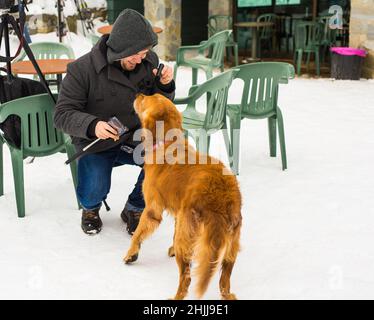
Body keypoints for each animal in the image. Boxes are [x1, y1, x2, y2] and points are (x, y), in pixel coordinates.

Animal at [125, 92, 243, 300]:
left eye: (147, 98)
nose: (138, 93)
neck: (168, 142)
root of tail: (221, 197)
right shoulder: (179, 213)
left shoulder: (152, 209)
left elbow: (137, 234)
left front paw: (131, 254)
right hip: (231, 245)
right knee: (224, 280)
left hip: (187, 235)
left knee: (186, 277)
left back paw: (176, 296)